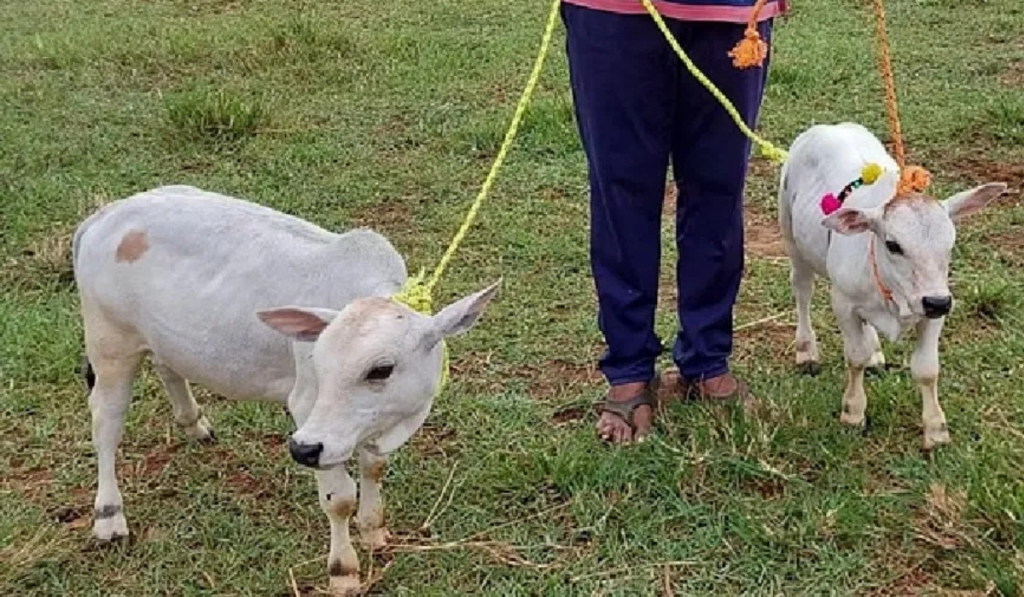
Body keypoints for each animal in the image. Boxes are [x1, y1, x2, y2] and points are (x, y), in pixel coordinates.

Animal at [73, 185, 499, 593]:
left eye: (381, 370)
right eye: (319, 363)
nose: (301, 450)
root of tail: (104, 215)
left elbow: (374, 467)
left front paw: (374, 529)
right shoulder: (309, 410)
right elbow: (339, 499)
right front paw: (343, 571)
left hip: (162, 338)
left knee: (167, 368)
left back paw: (193, 422)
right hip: (109, 345)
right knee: (106, 423)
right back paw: (109, 515)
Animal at [778, 123, 1003, 450]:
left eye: (950, 244)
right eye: (893, 245)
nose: (936, 302)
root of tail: (828, 127)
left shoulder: (934, 309)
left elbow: (926, 369)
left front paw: (936, 429)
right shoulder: (843, 303)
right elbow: (854, 357)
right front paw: (853, 412)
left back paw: (875, 351)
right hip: (792, 239)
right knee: (802, 292)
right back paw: (807, 350)